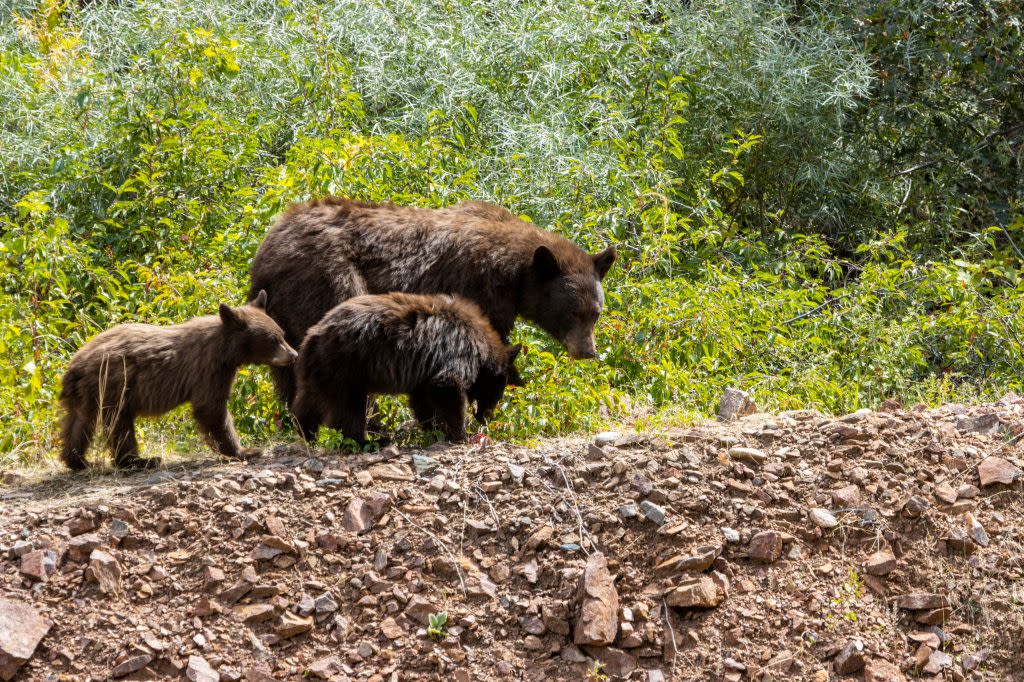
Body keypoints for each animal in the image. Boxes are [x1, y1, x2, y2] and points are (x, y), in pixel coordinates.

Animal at [247, 196, 614, 401]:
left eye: (596, 312)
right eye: (573, 312)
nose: (587, 351)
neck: (515, 274)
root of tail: (266, 250)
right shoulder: (477, 287)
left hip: (282, 308)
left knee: (288, 371)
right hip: (326, 280)